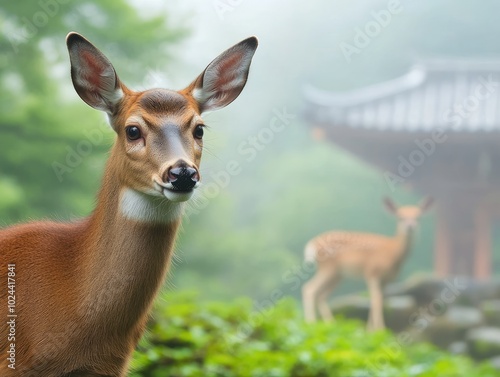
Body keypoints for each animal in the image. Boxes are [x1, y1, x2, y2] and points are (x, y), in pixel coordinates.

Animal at [300, 197, 434, 328]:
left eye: (418, 217)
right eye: (400, 217)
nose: (410, 226)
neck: (393, 252)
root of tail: (312, 244)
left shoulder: (386, 280)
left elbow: (380, 299)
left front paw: (370, 329)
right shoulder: (372, 272)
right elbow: (376, 299)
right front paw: (379, 329)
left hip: (337, 274)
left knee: (321, 295)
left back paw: (330, 323)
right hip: (328, 268)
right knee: (309, 288)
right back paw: (310, 323)